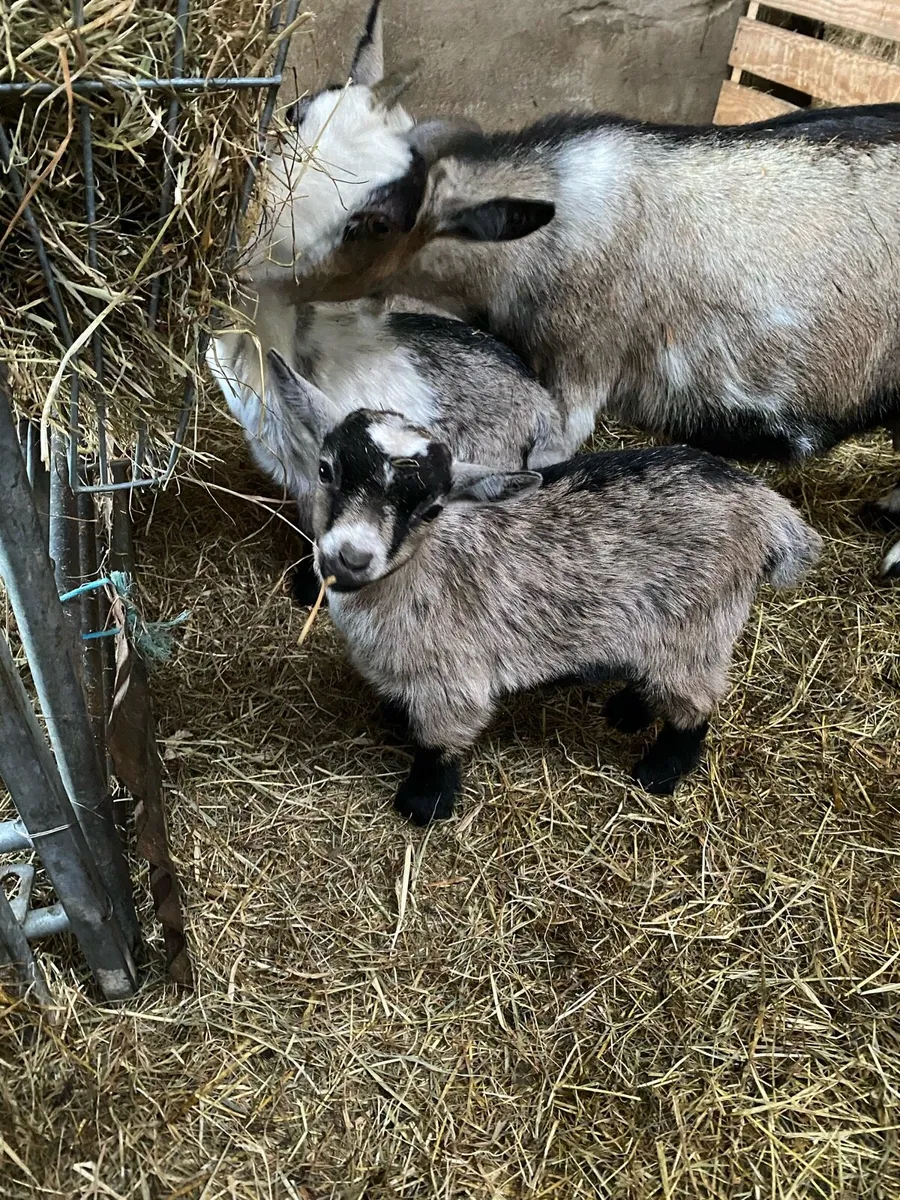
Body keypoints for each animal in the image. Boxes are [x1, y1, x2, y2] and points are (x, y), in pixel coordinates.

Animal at [280, 371, 822, 825]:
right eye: (326, 470)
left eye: (431, 509)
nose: (350, 558)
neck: (414, 573)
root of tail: (768, 508)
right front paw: (395, 722)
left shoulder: (454, 679)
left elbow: (442, 744)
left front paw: (424, 803)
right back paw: (628, 711)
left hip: (700, 623)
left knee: (695, 703)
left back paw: (659, 772)